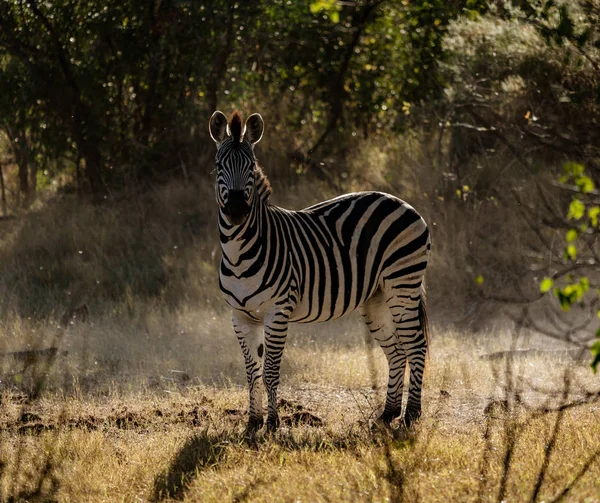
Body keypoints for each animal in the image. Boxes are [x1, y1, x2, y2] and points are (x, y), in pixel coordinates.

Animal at [209, 112, 428, 436]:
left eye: (251, 166)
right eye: (218, 165)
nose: (236, 211)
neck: (238, 253)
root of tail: (400, 202)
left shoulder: (278, 312)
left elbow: (270, 371)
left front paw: (272, 425)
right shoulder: (240, 317)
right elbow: (252, 372)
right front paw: (252, 423)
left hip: (403, 286)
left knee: (416, 346)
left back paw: (411, 416)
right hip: (376, 298)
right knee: (397, 352)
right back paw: (386, 415)